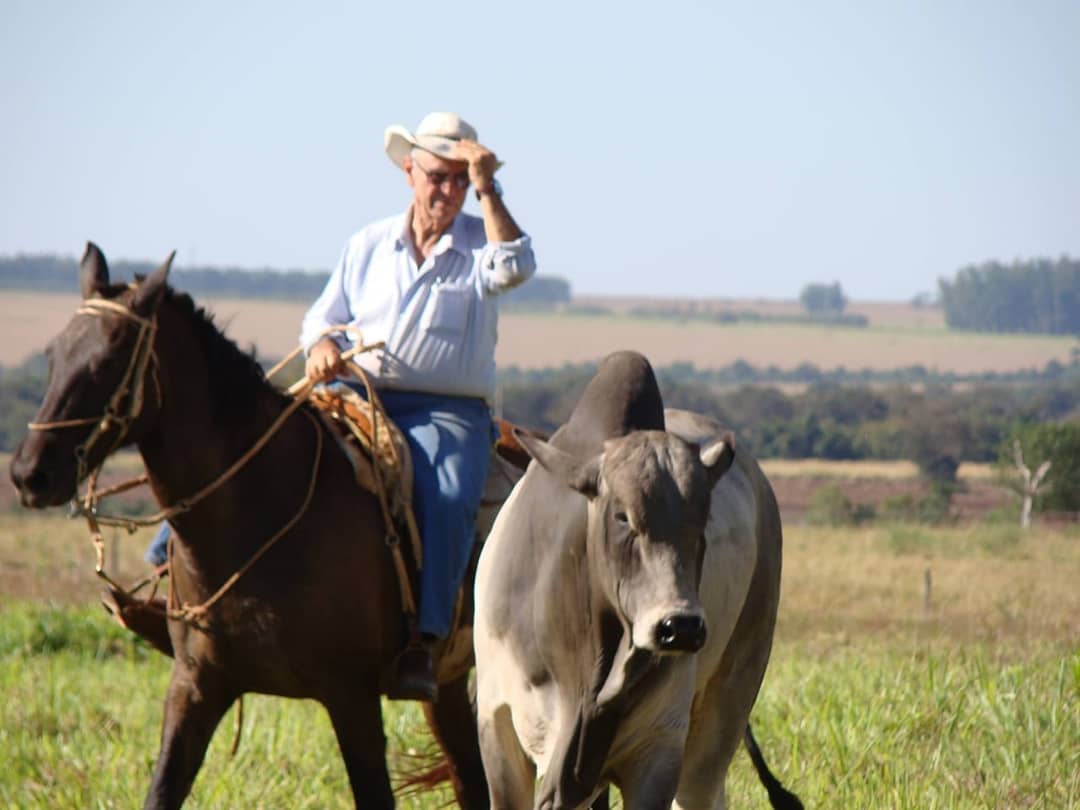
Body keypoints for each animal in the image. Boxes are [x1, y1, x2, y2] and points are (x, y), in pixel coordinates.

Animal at [10, 244, 498, 807]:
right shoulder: (195, 687)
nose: (28, 473)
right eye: (53, 356)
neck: (261, 509)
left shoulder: (352, 697)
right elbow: (161, 790)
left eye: (109, 361)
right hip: (448, 687)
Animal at [475, 354, 803, 810]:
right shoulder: (497, 728)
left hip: (726, 706)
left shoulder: (658, 749)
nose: (679, 626)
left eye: (702, 520)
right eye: (623, 517)